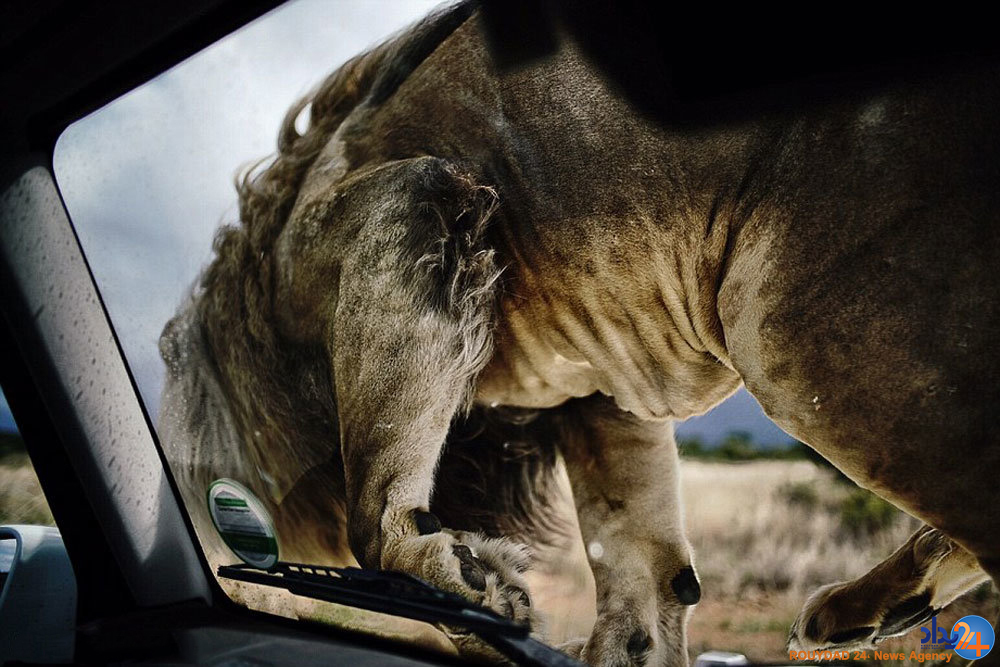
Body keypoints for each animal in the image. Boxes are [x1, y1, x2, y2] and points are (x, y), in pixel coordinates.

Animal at [156, 2, 1000, 664]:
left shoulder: (398, 207)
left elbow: (375, 506)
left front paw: (467, 584)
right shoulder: (598, 397)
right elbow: (644, 574)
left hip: (799, 331)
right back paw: (865, 608)